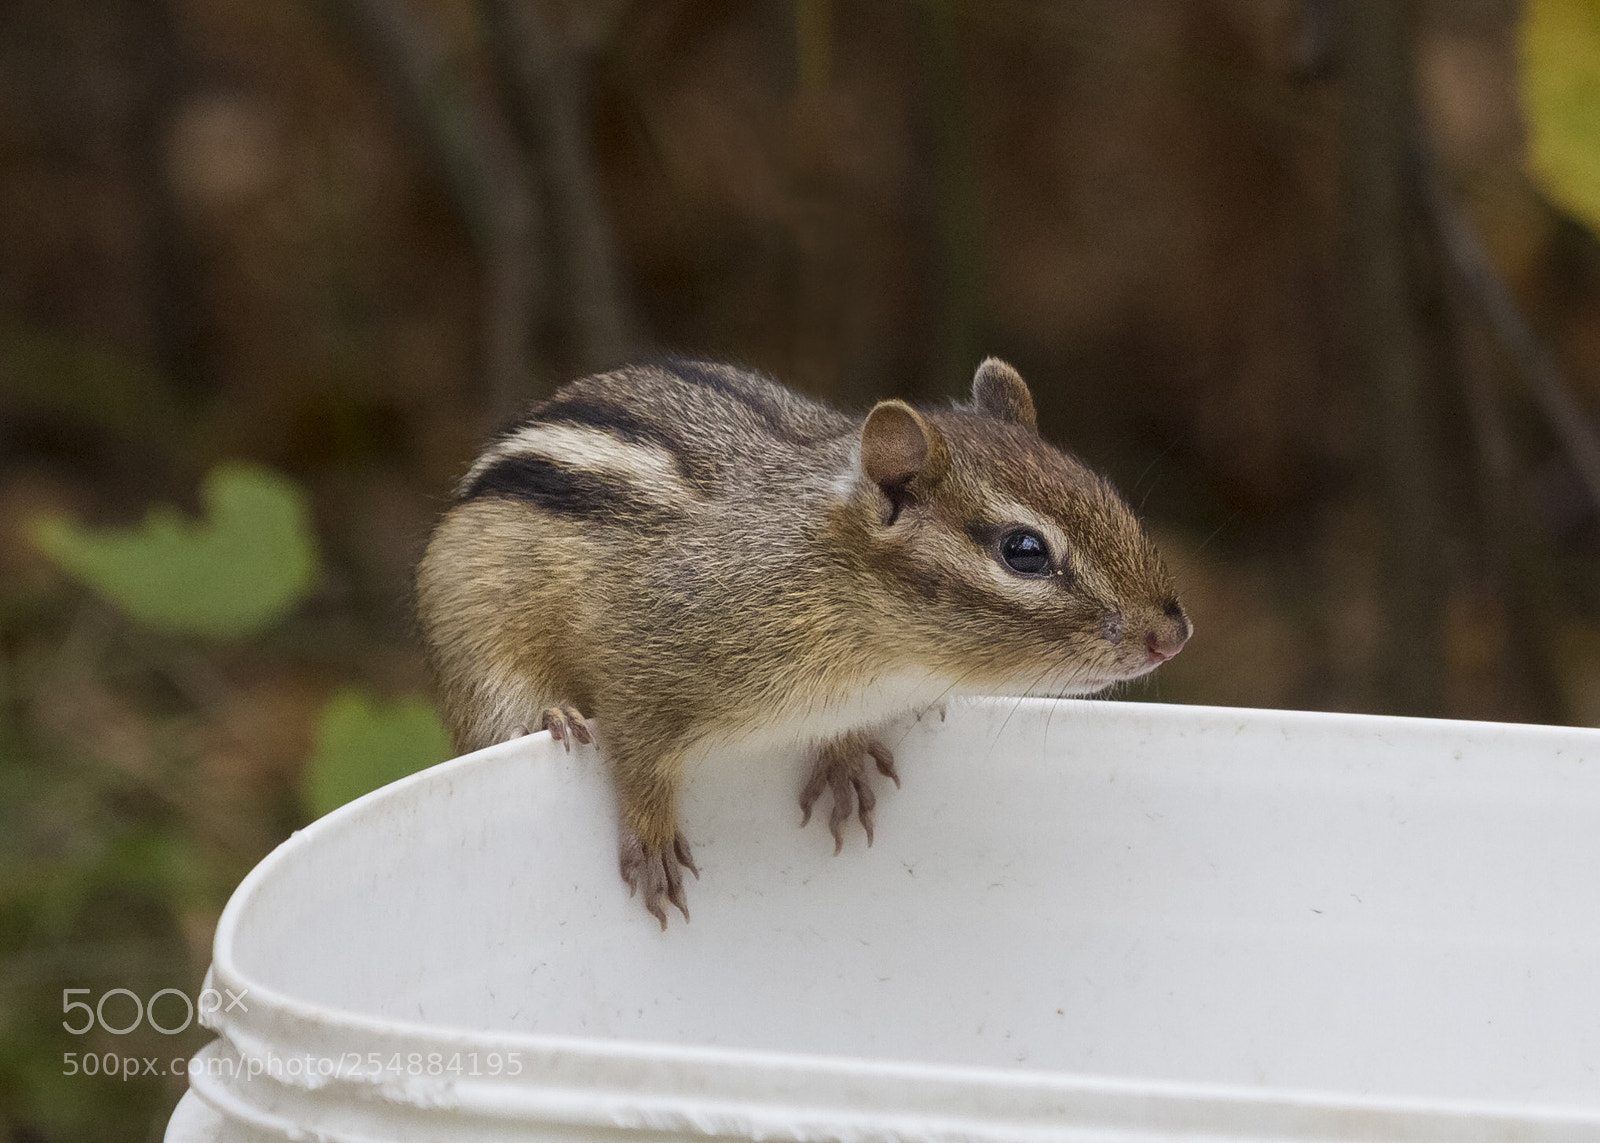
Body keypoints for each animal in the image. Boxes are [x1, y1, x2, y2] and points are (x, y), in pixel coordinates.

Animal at [415, 357, 1190, 928]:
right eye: (1024, 551)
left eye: (1104, 489)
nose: (1172, 634)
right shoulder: (643, 657)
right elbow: (637, 754)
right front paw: (651, 835)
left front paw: (844, 760)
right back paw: (550, 715)